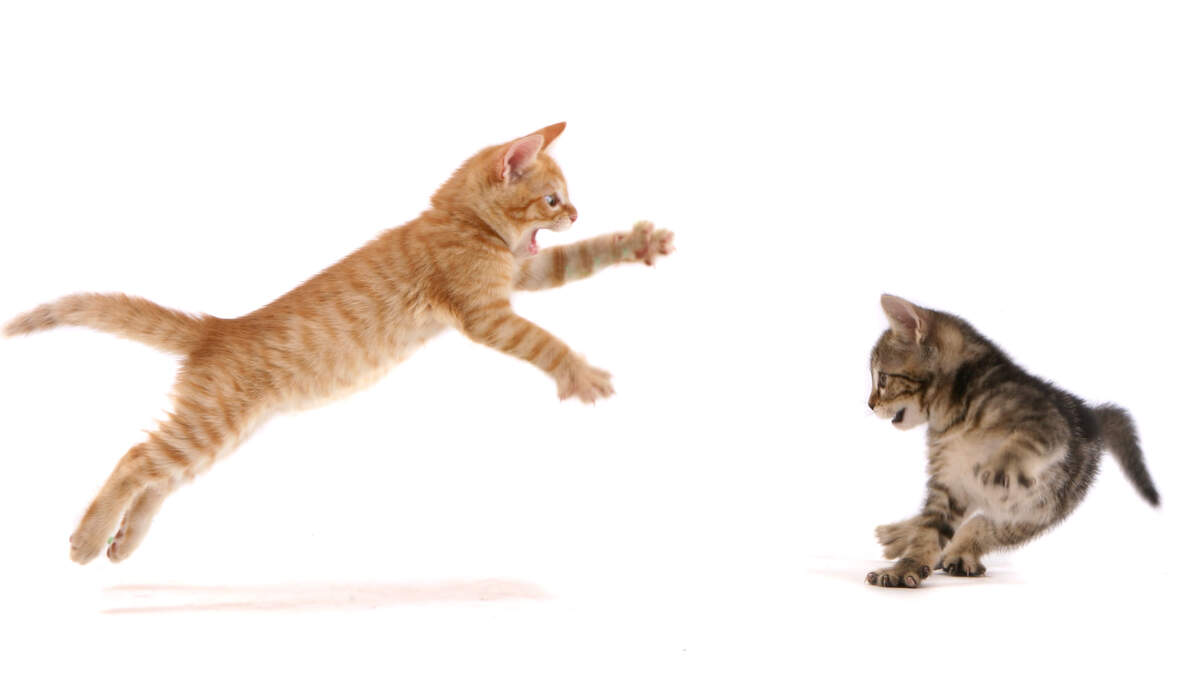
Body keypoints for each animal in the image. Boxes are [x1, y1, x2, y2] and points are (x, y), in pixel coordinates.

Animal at [4, 122, 675, 565]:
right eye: (553, 198)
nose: (577, 214)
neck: (461, 222)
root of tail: (221, 324)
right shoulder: (486, 313)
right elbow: (544, 341)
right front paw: (580, 374)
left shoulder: (523, 273)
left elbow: (578, 260)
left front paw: (637, 243)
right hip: (213, 423)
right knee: (136, 459)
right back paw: (89, 538)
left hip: (221, 431)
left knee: (159, 475)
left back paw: (125, 542)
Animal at [865, 294, 1158, 588]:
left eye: (882, 378)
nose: (870, 405)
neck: (956, 415)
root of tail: (1091, 414)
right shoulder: (949, 482)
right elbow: (929, 529)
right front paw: (905, 568)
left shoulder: (1049, 424)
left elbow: (1024, 442)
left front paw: (1000, 466)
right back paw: (899, 535)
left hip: (1040, 509)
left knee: (987, 526)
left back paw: (959, 552)